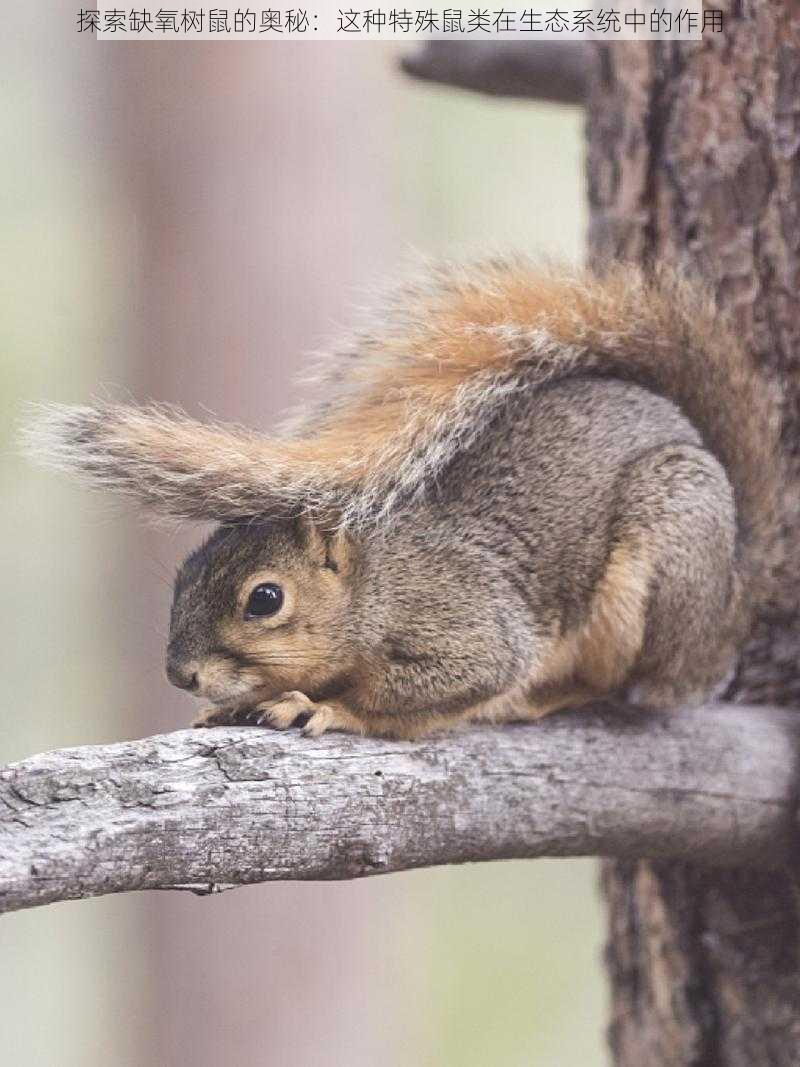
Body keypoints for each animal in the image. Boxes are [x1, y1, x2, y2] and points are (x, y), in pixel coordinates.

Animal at [26, 259, 785, 738]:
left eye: (264, 599)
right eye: (182, 575)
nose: (179, 674)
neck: (375, 585)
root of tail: (729, 603)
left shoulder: (467, 623)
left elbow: (434, 685)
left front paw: (331, 708)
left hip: (661, 555)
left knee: (619, 682)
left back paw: (536, 698)